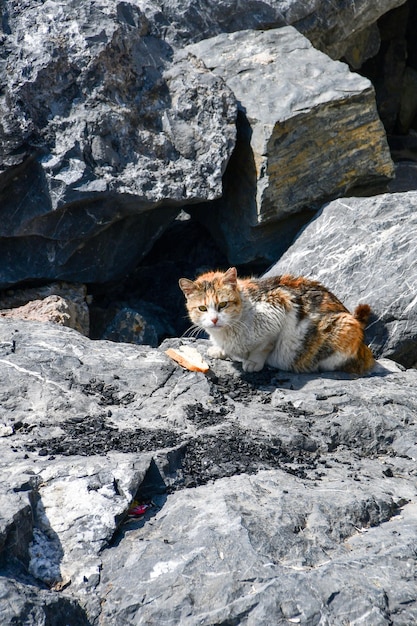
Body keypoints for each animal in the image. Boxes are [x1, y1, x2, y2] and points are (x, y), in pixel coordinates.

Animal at [178, 266, 374, 372]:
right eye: (202, 308)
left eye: (223, 305)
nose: (214, 320)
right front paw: (219, 350)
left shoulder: (279, 305)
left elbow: (264, 346)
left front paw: (253, 362)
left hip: (344, 327)